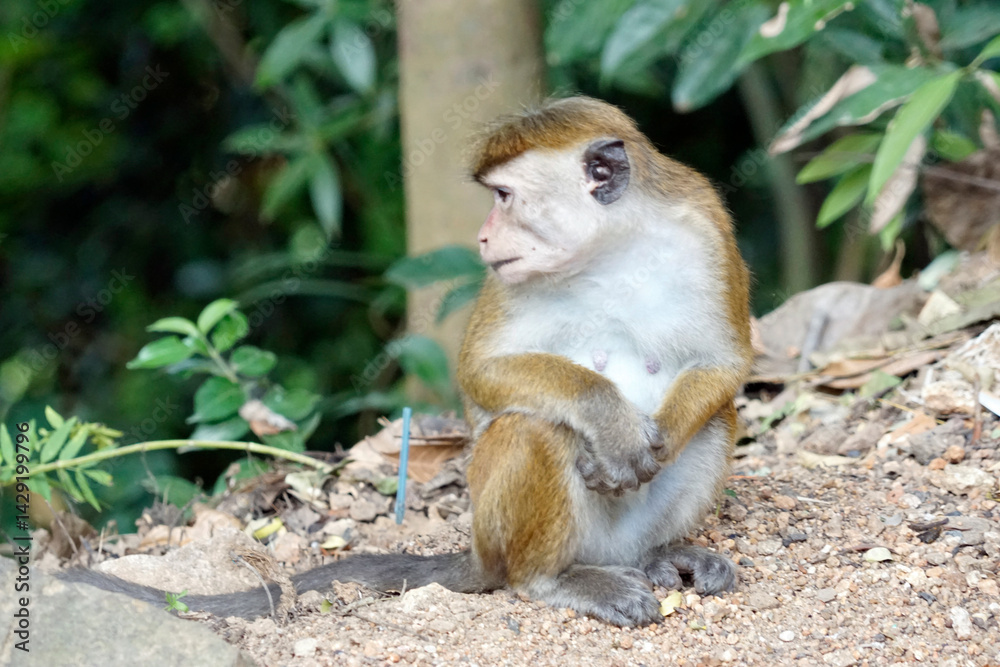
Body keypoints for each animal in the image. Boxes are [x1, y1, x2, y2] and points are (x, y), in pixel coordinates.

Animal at [59, 96, 752, 627]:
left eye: (505, 195)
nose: (482, 236)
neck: (607, 250)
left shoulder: (704, 225)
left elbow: (724, 363)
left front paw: (649, 442)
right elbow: (482, 372)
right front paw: (609, 422)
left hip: (616, 532)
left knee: (718, 417)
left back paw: (658, 555)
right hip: (505, 533)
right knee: (532, 429)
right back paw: (554, 579)